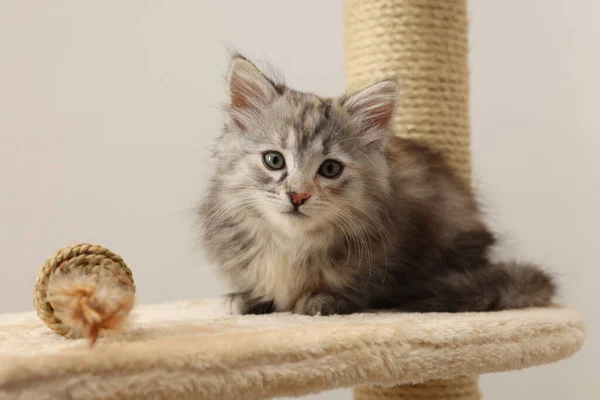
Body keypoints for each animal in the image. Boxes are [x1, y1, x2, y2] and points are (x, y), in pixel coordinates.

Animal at [199, 55, 556, 316]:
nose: (298, 195)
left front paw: (322, 300)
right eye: (274, 160)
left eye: (330, 169)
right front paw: (250, 297)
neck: (294, 245)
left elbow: (363, 288)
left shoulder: (397, 251)